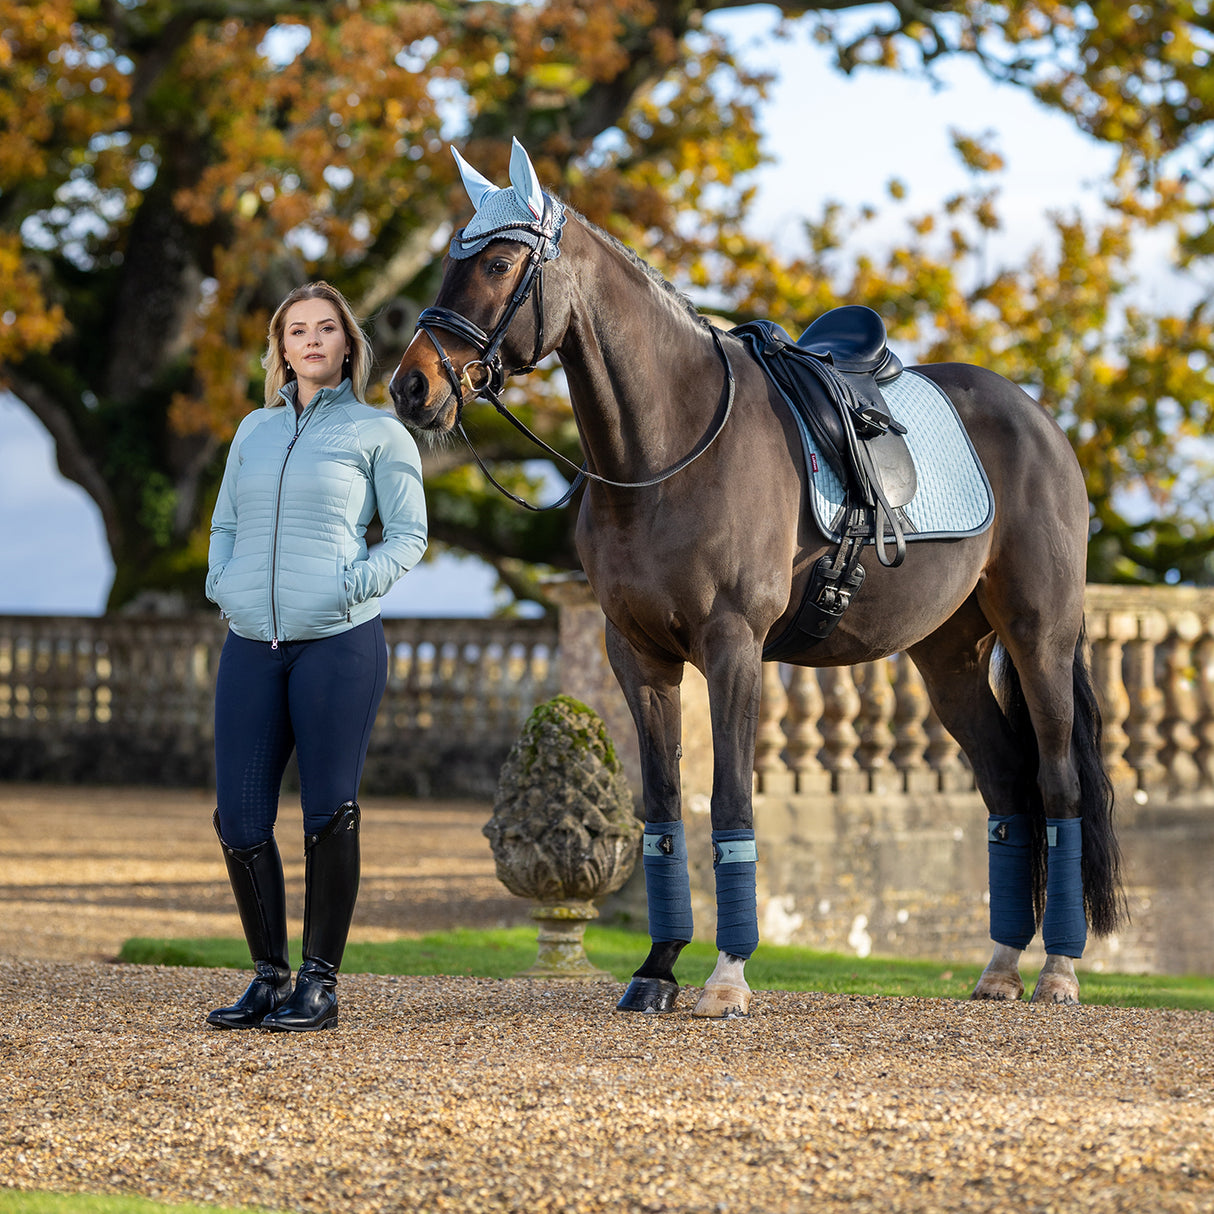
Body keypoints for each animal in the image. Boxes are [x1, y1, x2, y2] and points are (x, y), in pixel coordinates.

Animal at [390, 139, 1126, 1014]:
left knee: (1058, 786)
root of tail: (1039, 420)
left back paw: (1058, 972)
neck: (668, 452)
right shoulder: (638, 656)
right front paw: (656, 970)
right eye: (448, 261)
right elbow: (663, 810)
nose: (411, 386)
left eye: (501, 262)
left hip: (1040, 639)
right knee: (1009, 789)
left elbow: (731, 800)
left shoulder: (732, 647)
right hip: (947, 659)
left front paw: (726, 978)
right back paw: (1000, 968)